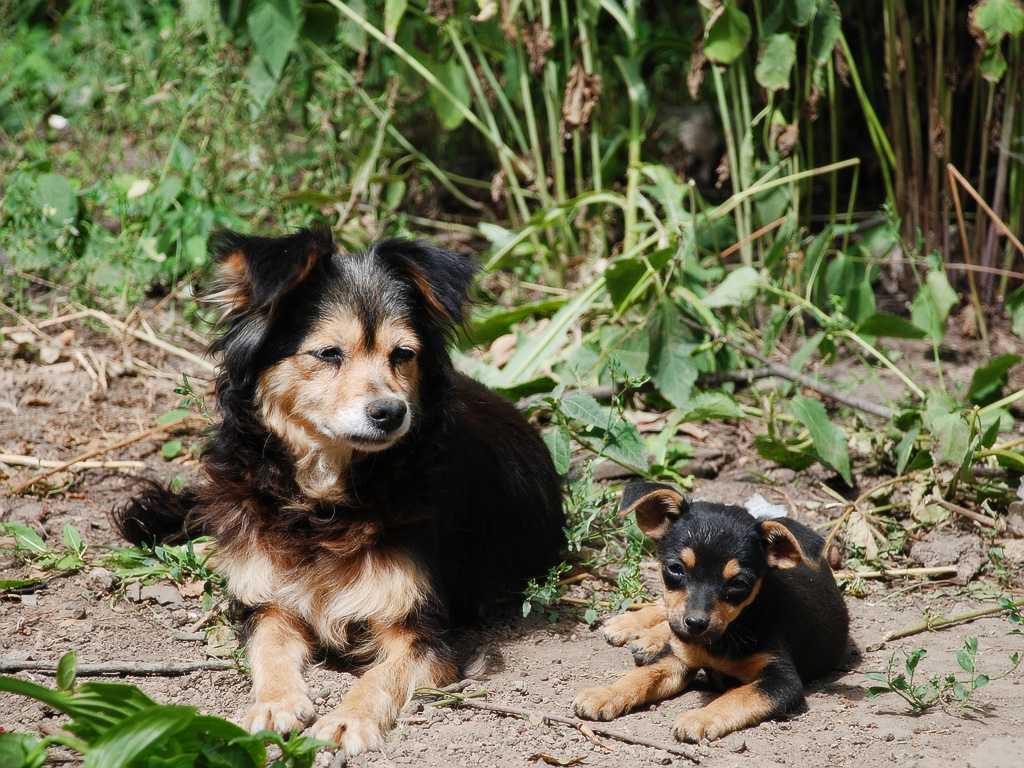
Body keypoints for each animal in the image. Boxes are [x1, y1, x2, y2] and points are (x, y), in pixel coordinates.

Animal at [120, 228, 569, 757]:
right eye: (328, 353)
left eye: (403, 355)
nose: (390, 412)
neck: (324, 501)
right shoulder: (267, 602)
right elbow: (268, 647)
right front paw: (275, 702)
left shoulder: (422, 631)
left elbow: (380, 676)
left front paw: (346, 719)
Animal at [577, 483, 847, 741]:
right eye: (675, 568)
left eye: (739, 583)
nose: (696, 623)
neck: (732, 630)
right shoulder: (676, 658)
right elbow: (641, 676)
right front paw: (604, 693)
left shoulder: (783, 682)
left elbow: (738, 696)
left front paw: (699, 718)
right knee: (665, 609)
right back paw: (631, 625)